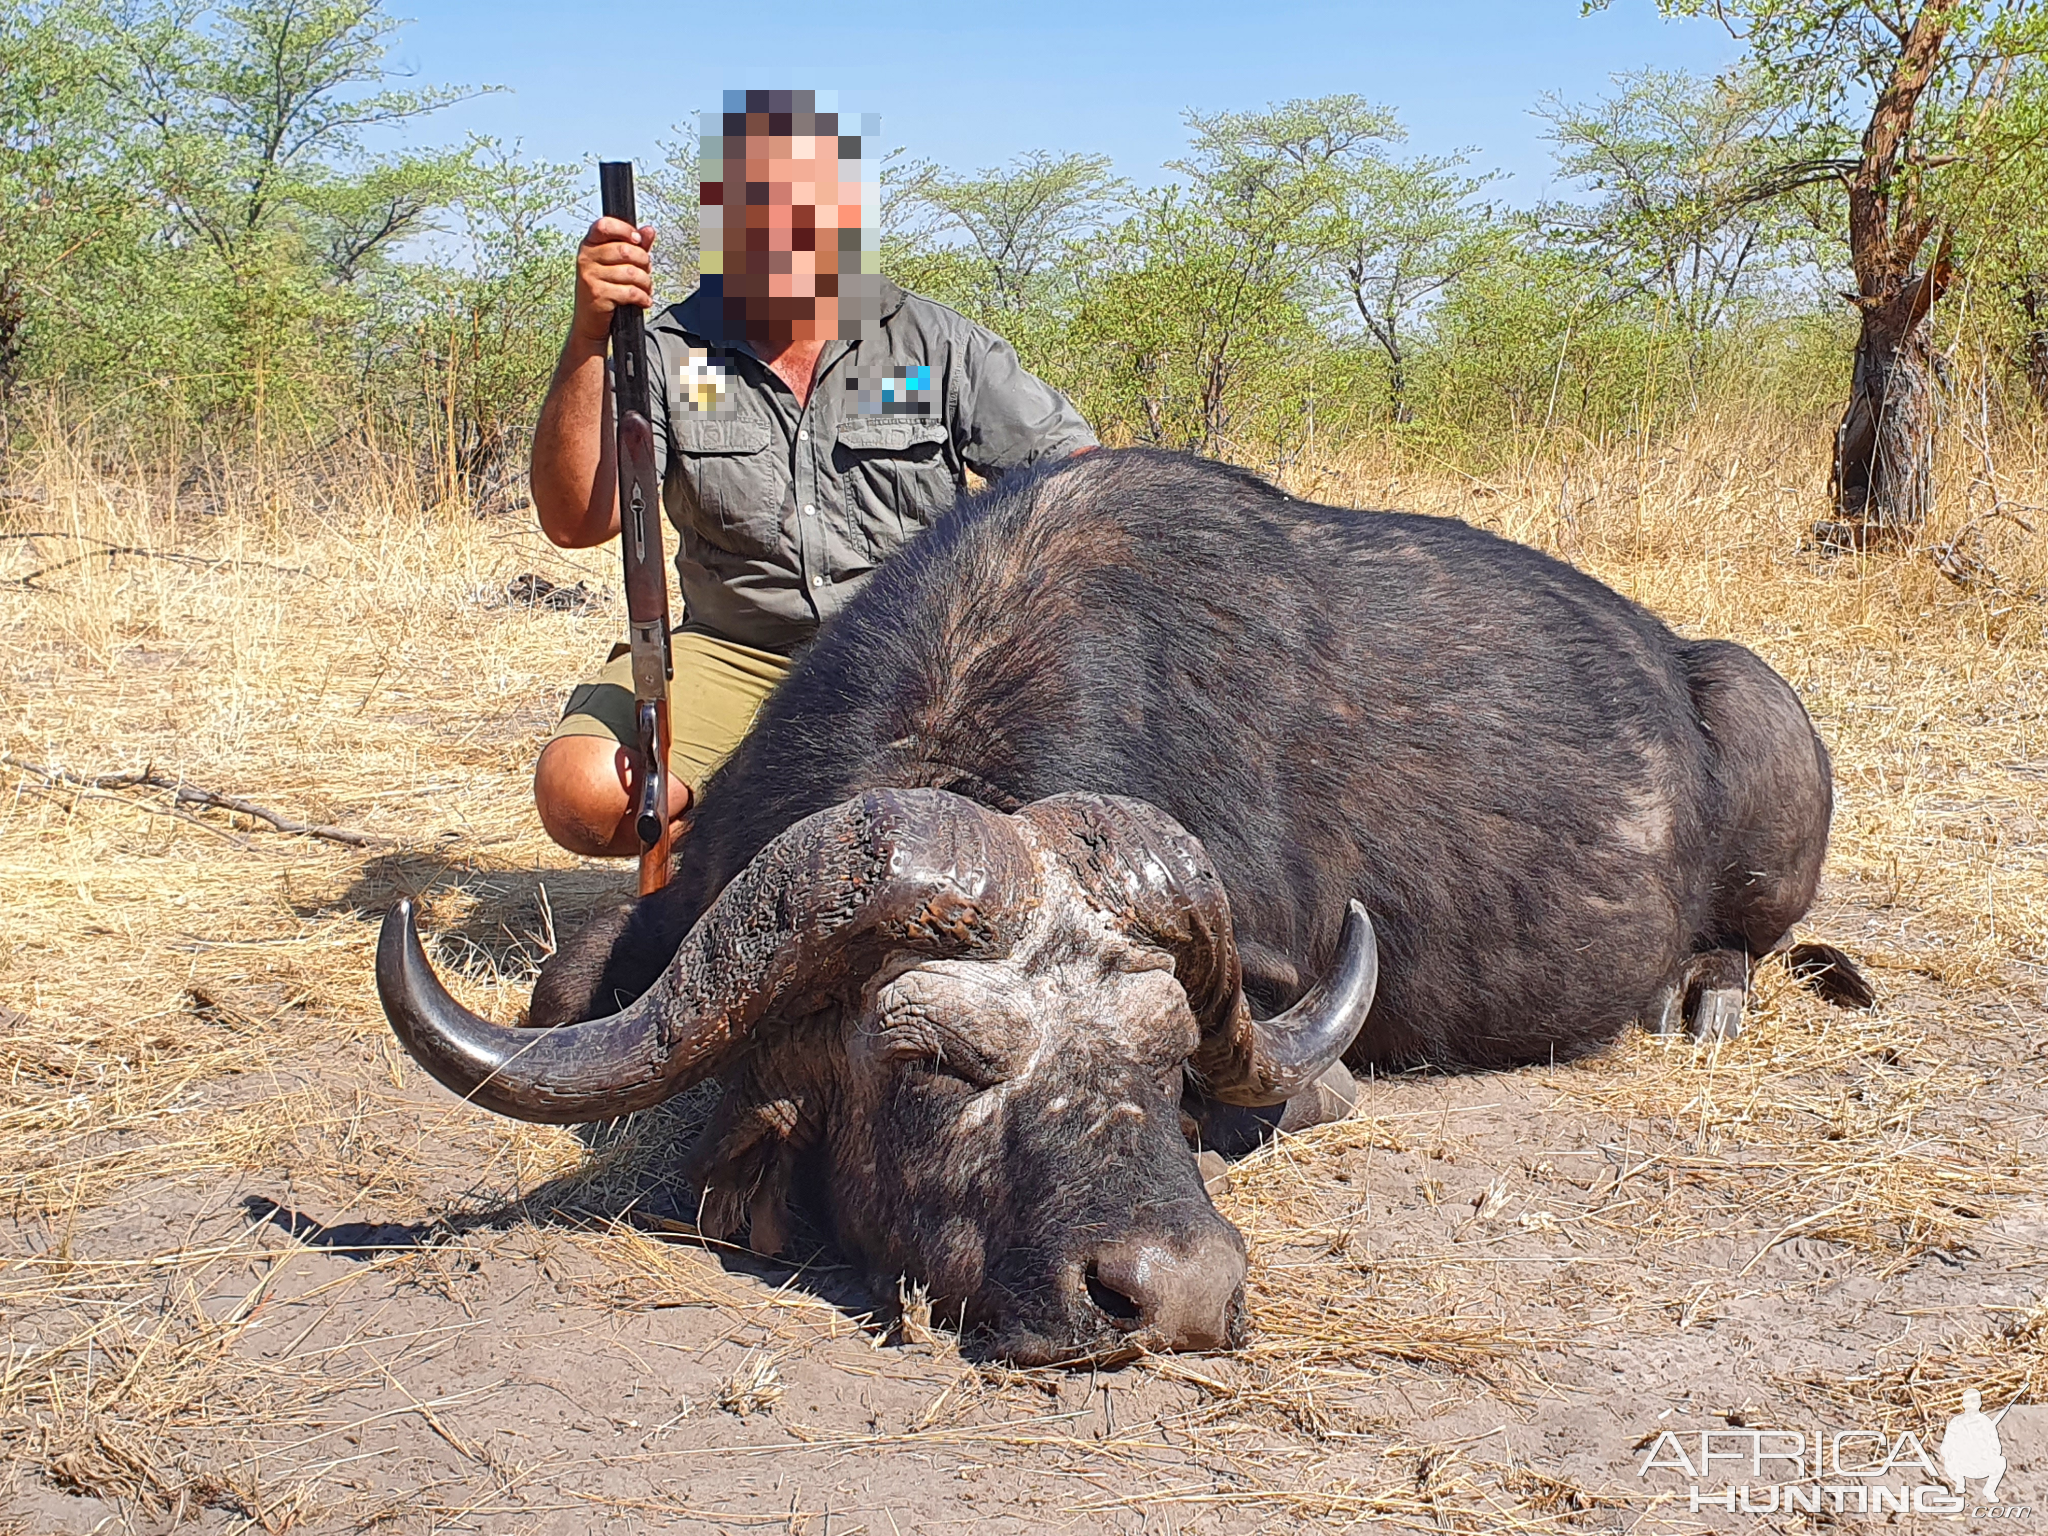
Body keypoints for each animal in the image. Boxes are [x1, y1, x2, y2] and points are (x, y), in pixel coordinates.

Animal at [376, 448, 1867, 1368]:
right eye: (934, 1063)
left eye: (1166, 1061)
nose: (1180, 1297)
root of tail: (1684, 664)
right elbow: (567, 987)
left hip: (1759, 727)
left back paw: (1705, 998)